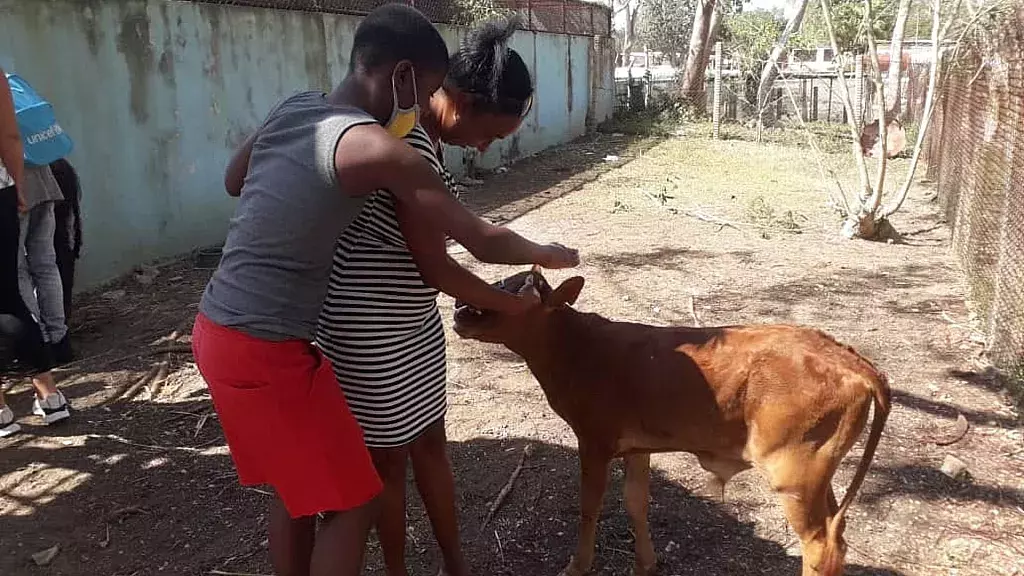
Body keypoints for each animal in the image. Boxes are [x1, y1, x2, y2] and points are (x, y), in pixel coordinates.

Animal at [452, 268, 892, 573]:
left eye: (519, 293)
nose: (460, 310)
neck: (576, 348)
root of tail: (852, 361)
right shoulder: (636, 444)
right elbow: (636, 502)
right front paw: (644, 564)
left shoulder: (594, 439)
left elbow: (589, 506)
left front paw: (576, 566)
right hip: (819, 472)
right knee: (837, 536)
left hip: (795, 470)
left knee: (819, 545)